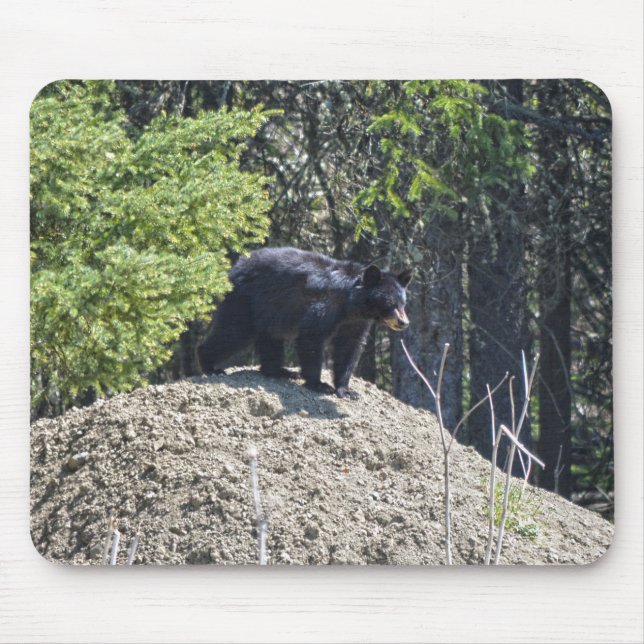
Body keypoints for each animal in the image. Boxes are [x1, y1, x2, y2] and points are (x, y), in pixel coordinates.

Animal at [197, 247, 412, 399]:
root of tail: (234, 268)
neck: (351, 304)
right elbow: (312, 338)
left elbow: (349, 348)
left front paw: (347, 390)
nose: (403, 322)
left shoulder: (356, 322)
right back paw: (211, 366)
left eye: (403, 303)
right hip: (245, 301)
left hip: (270, 309)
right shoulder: (324, 306)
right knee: (233, 332)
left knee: (270, 339)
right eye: (390, 304)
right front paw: (319, 385)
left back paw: (280, 371)